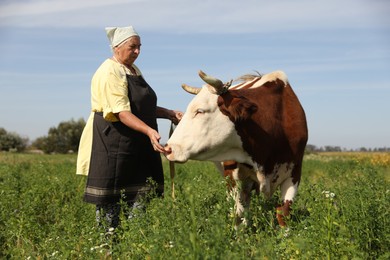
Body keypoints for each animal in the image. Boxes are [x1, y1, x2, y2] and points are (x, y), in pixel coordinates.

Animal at [165, 70, 308, 228]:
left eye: (200, 111)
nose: (168, 148)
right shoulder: (233, 175)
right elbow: (238, 212)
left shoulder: (295, 173)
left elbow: (283, 213)